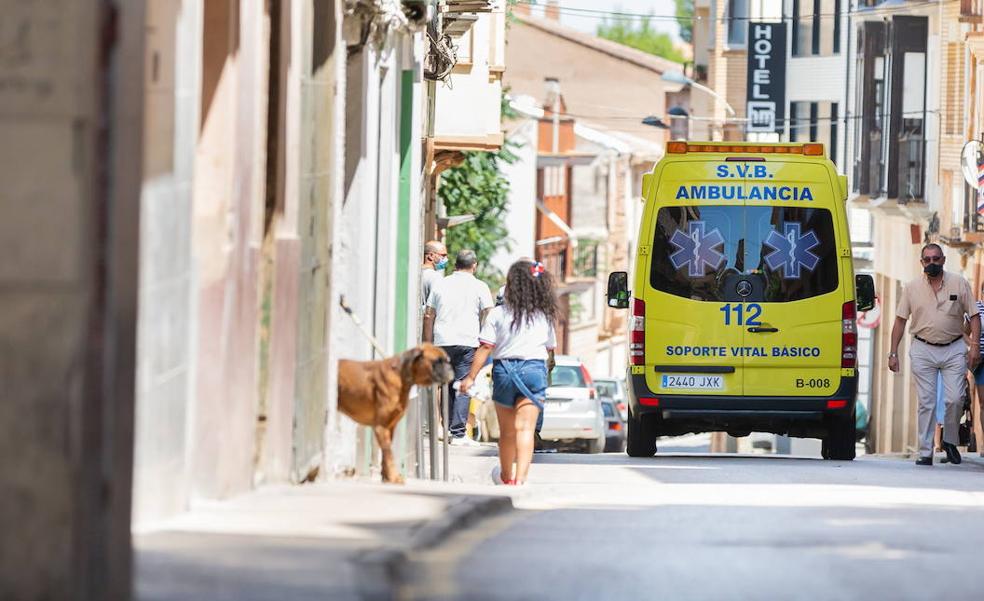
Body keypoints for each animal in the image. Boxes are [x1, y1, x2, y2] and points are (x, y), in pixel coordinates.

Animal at [336, 344, 456, 480]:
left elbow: (386, 455)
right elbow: (389, 454)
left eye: (447, 360)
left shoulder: (389, 428)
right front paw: (393, 477)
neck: (401, 375)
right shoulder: (381, 427)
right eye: (437, 361)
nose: (451, 369)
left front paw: (387, 477)